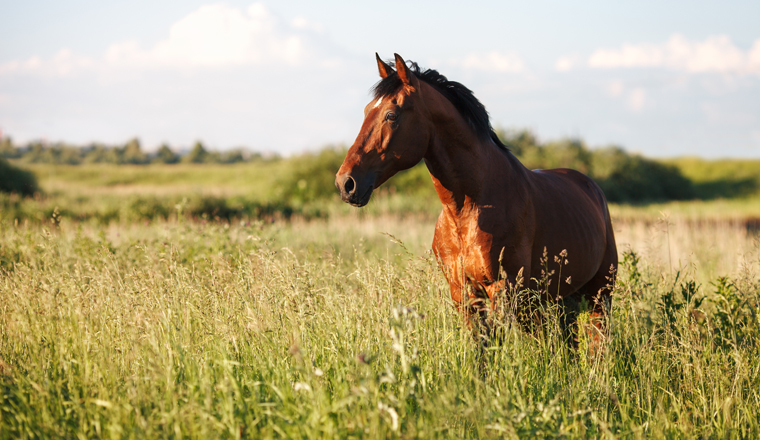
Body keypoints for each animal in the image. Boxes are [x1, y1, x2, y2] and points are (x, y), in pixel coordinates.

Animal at [336, 52, 616, 348]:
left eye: (391, 115)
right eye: (367, 110)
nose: (345, 183)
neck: (468, 209)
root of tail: (590, 187)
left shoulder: (503, 290)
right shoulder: (463, 293)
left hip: (599, 294)